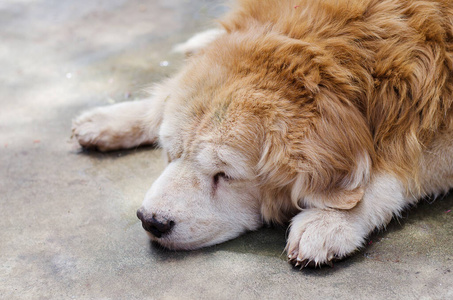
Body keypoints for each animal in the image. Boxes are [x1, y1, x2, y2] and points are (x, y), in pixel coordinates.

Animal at [70, 0, 452, 268]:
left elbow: (401, 174)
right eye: (170, 152)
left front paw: (332, 220)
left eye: (224, 175)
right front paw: (113, 118)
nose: (151, 221)